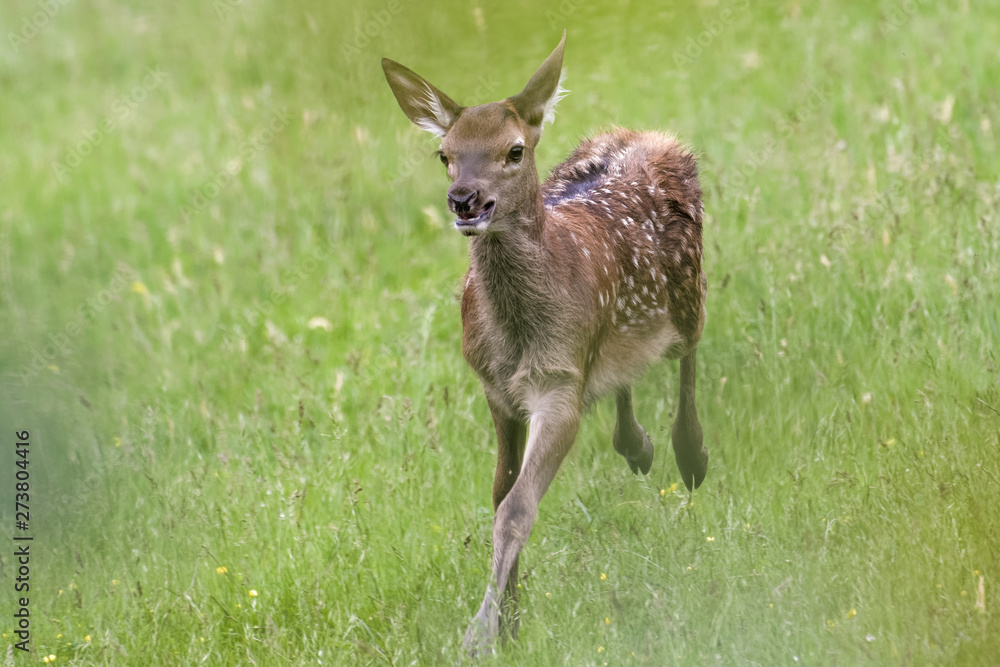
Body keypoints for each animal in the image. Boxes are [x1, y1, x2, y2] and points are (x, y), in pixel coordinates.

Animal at [382, 31, 708, 654]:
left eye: (513, 151)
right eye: (445, 154)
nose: (464, 199)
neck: (520, 337)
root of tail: (649, 138)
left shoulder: (558, 387)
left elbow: (516, 509)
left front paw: (482, 632)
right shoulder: (497, 389)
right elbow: (499, 494)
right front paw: (510, 621)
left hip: (688, 291)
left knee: (688, 353)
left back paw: (691, 453)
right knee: (626, 372)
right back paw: (638, 446)